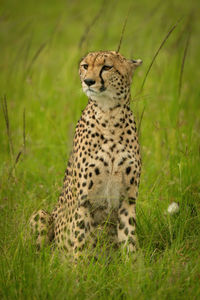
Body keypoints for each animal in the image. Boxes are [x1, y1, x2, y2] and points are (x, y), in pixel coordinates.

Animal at [29, 51, 142, 258]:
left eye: (107, 67)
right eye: (85, 66)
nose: (88, 81)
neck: (109, 115)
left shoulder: (128, 200)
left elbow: (128, 236)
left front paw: (134, 264)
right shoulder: (84, 201)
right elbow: (80, 238)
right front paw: (78, 265)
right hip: (41, 215)